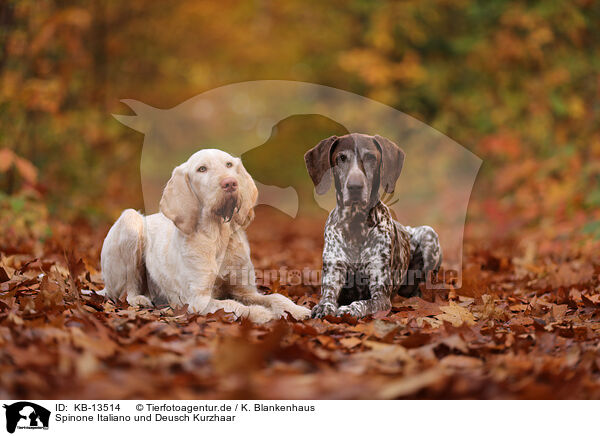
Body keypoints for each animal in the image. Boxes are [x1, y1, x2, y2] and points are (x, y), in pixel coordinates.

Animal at [99, 148, 310, 322]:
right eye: (202, 169)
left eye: (229, 165)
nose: (230, 183)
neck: (218, 237)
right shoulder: (198, 300)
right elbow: (234, 306)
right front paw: (262, 314)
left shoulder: (244, 290)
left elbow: (276, 297)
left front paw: (297, 310)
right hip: (130, 219)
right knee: (128, 290)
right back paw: (139, 299)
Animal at [304, 133, 440, 316]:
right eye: (341, 158)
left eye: (370, 157)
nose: (355, 187)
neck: (355, 224)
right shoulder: (333, 273)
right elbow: (327, 297)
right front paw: (324, 307)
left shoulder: (380, 295)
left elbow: (362, 303)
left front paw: (349, 309)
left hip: (428, 235)